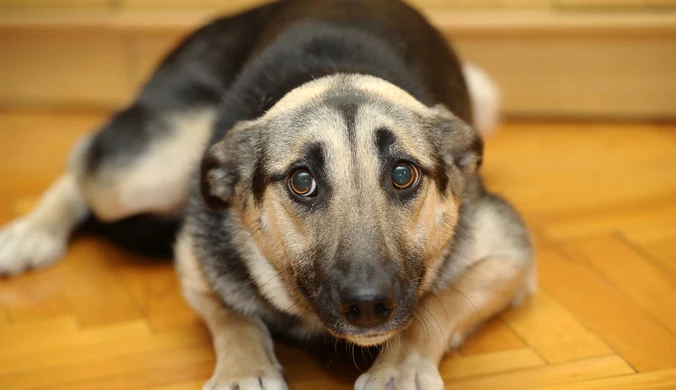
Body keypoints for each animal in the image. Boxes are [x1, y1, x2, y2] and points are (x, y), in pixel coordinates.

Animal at [1, 1, 540, 388]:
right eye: (302, 181)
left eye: (403, 174)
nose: (368, 305)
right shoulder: (195, 261)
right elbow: (232, 313)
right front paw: (243, 369)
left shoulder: (509, 256)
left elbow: (437, 304)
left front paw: (400, 367)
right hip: (142, 171)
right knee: (84, 158)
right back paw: (31, 233)